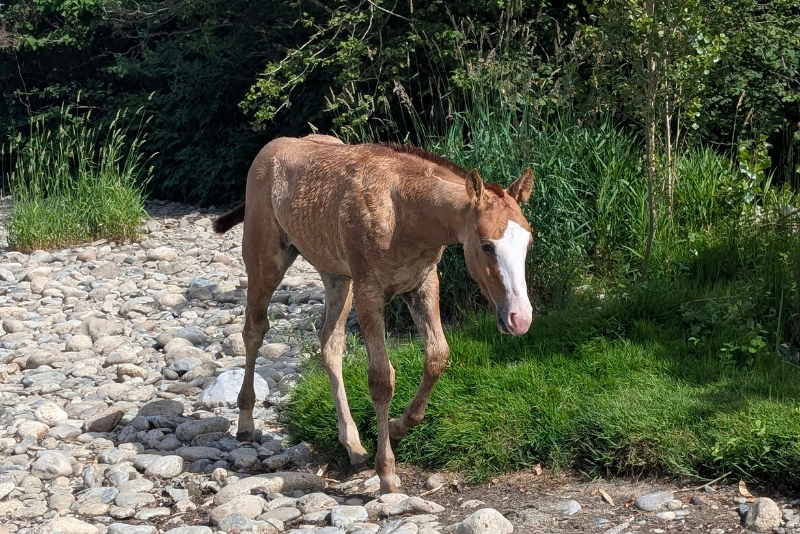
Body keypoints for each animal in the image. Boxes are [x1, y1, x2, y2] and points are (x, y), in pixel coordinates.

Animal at [213, 134, 534, 494]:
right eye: (486, 246)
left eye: (528, 243)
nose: (520, 318)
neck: (405, 213)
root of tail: (271, 148)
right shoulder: (370, 291)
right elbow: (381, 379)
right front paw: (387, 474)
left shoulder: (422, 283)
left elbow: (437, 356)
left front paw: (397, 427)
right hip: (266, 262)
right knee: (254, 330)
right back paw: (245, 422)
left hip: (336, 274)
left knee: (329, 342)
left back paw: (352, 444)